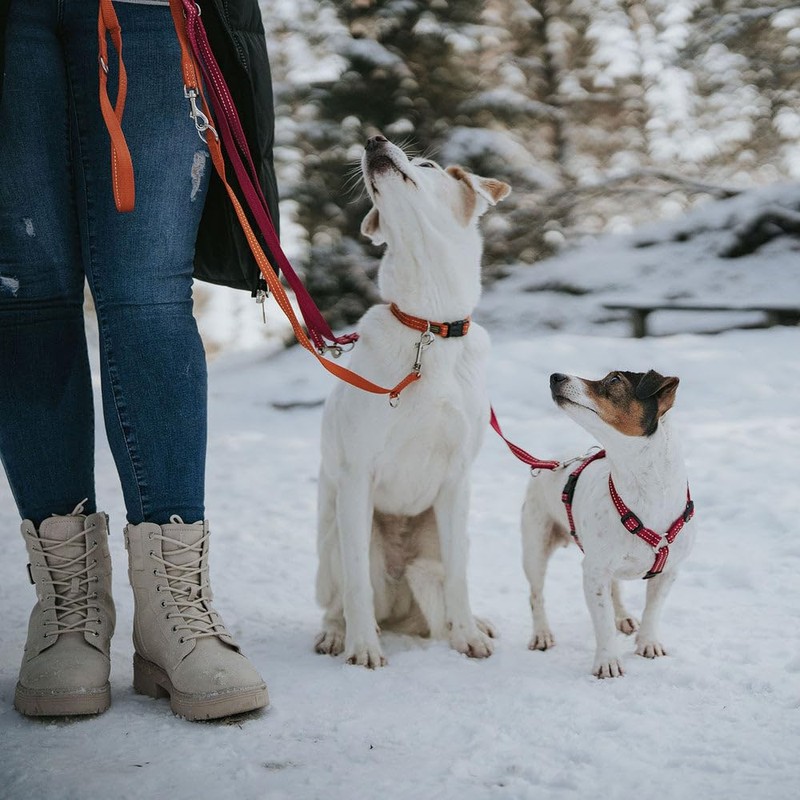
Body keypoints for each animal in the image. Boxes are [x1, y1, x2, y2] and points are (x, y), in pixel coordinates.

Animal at [314, 135, 510, 667]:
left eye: (428, 164)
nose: (374, 139)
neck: (429, 326)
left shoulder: (457, 479)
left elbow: (460, 578)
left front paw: (468, 637)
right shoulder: (357, 475)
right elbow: (357, 585)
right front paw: (363, 646)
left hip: (439, 540)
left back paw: (476, 621)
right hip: (337, 536)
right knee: (339, 596)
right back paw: (337, 635)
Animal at [521, 370, 696, 678]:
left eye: (614, 380)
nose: (555, 376)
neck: (644, 491)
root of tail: (553, 461)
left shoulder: (668, 571)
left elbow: (653, 611)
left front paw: (648, 643)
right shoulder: (593, 572)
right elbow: (602, 622)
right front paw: (608, 661)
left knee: (615, 587)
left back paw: (623, 617)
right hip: (535, 548)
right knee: (536, 595)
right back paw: (541, 634)